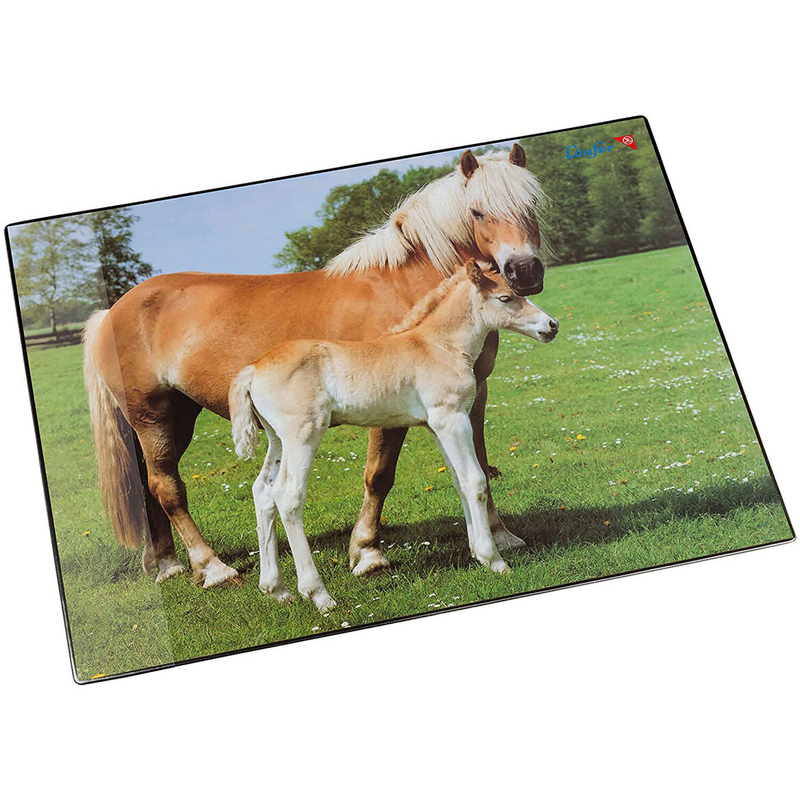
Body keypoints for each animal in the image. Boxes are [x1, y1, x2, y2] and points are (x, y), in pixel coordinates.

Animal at [229, 260, 559, 611]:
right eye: (505, 298)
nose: (551, 325)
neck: (438, 347)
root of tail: (253, 368)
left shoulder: (436, 425)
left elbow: (458, 481)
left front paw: (476, 552)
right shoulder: (451, 417)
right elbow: (475, 481)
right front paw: (493, 559)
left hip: (277, 439)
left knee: (263, 492)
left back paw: (276, 589)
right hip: (302, 435)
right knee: (288, 497)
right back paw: (318, 594)